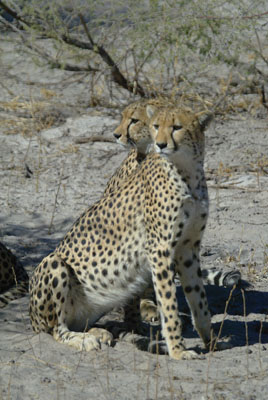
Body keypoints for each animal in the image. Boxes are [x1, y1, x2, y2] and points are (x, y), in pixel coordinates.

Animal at [29, 104, 226, 360]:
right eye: (155, 126)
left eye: (177, 127)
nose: (160, 144)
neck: (187, 171)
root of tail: (31, 320)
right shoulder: (160, 250)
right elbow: (169, 306)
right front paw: (178, 350)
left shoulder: (188, 249)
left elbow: (199, 301)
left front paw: (211, 341)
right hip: (53, 262)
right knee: (56, 329)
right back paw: (84, 340)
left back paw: (99, 332)